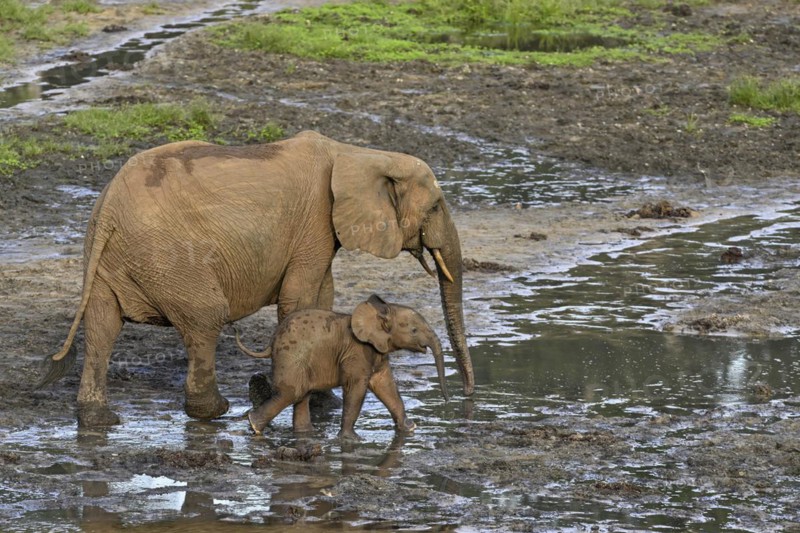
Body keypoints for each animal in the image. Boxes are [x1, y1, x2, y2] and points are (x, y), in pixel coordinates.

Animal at [238, 294, 448, 440]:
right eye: (414, 330)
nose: (447, 400)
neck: (379, 312)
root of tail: (272, 340)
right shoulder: (357, 351)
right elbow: (357, 387)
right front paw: (351, 440)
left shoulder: (377, 351)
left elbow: (385, 385)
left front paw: (410, 429)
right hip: (291, 356)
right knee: (293, 392)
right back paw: (254, 425)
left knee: (302, 394)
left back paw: (306, 434)